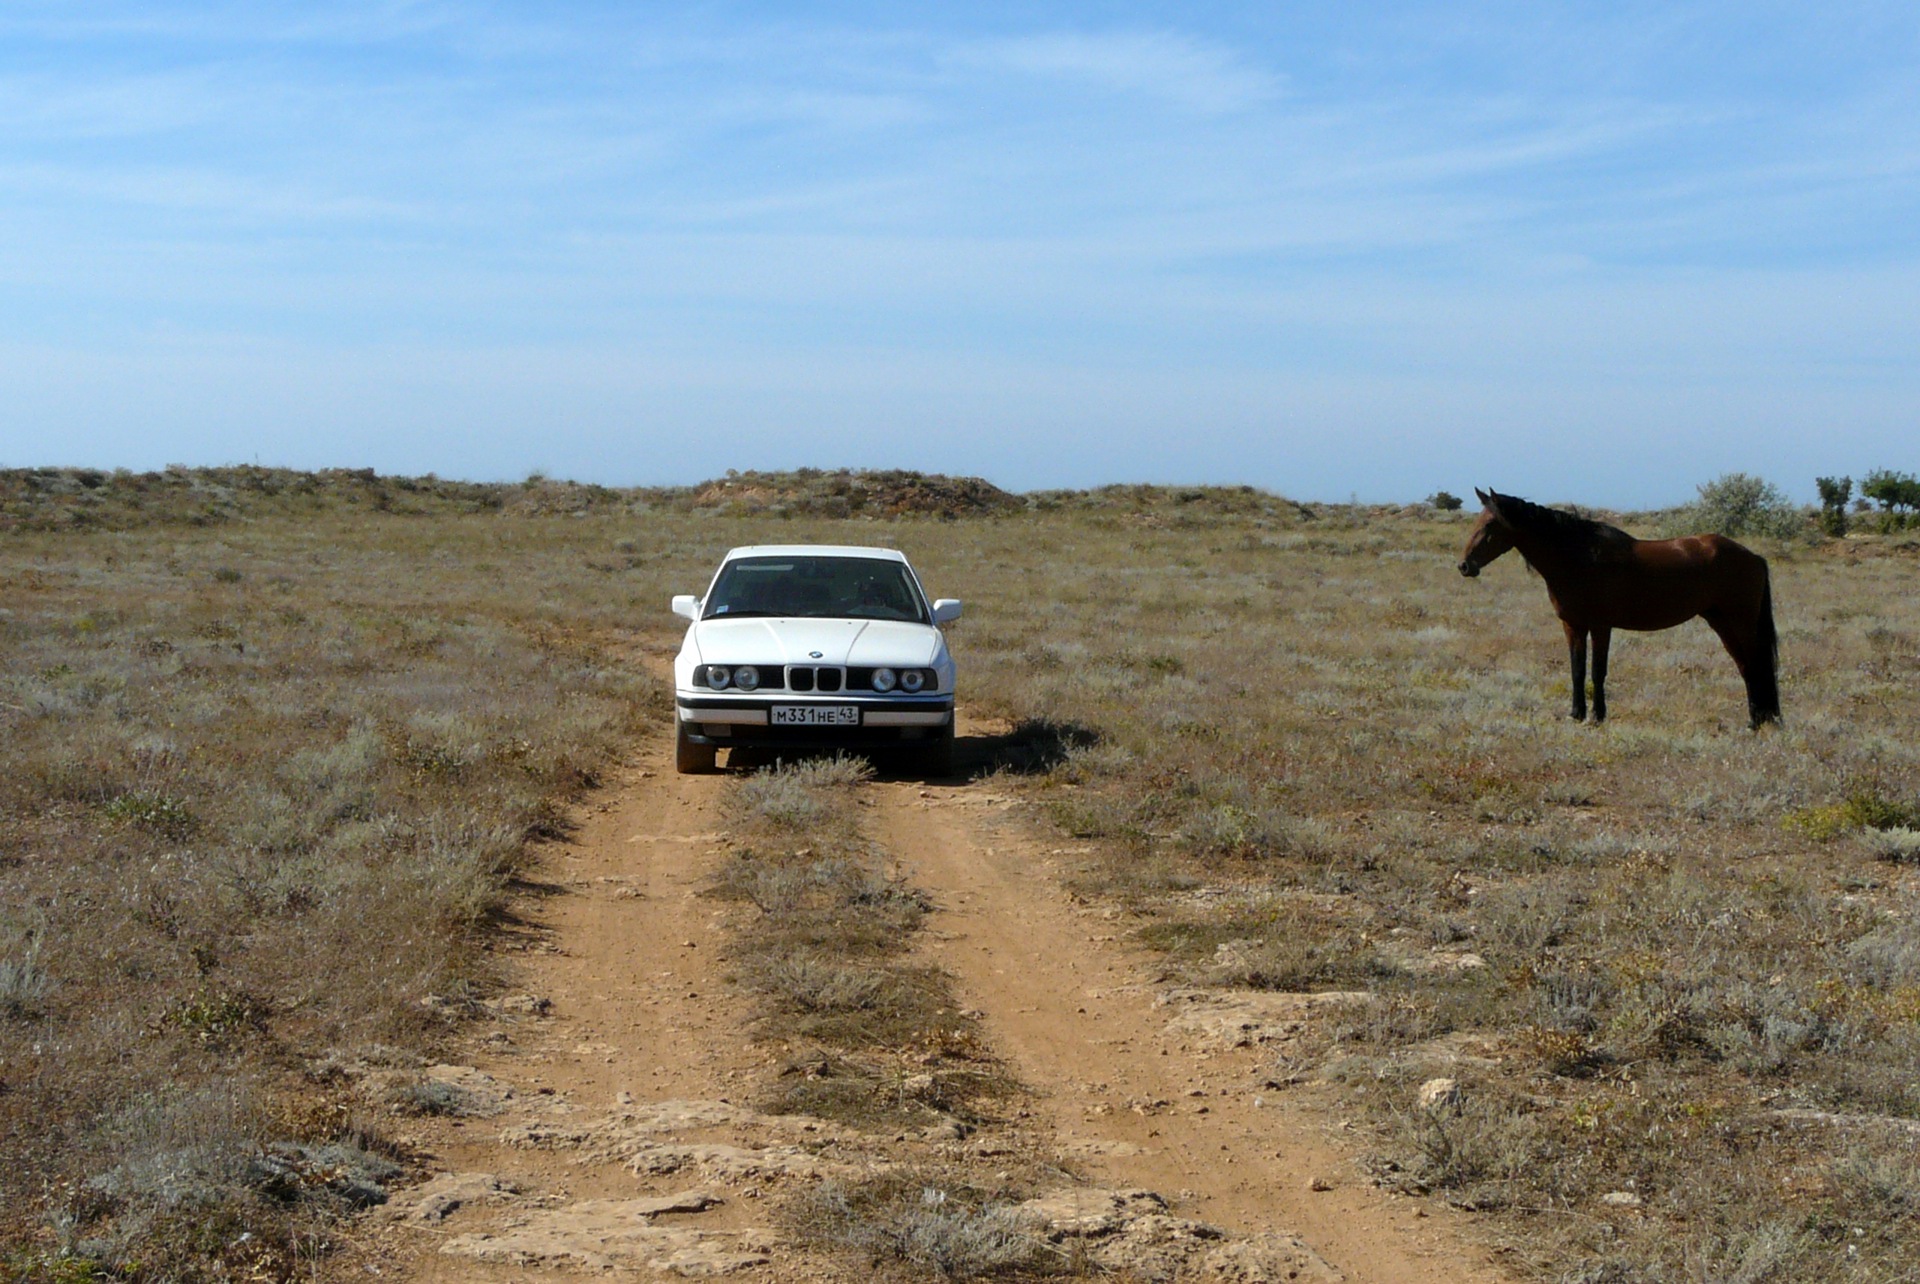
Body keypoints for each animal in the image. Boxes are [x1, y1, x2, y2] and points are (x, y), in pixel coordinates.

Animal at [1459, 491, 1774, 725]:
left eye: (1490, 525)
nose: (1464, 566)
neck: (1580, 558)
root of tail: (1753, 556)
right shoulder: (1573, 625)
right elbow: (1577, 669)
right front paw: (1576, 714)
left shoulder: (1601, 626)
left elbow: (1598, 670)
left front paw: (1598, 716)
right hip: (1721, 621)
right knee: (1745, 665)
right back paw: (1758, 718)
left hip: (1739, 622)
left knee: (1754, 664)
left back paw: (1757, 721)